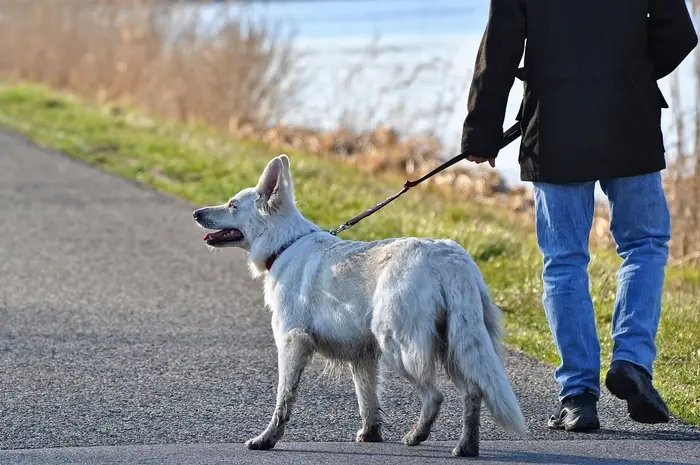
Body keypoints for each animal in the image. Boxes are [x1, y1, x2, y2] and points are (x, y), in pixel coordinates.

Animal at [191, 154, 524, 454]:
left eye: (232, 205)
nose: (195, 213)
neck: (285, 244)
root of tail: (450, 259)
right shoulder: (362, 355)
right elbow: (368, 400)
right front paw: (371, 434)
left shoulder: (292, 342)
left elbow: (283, 399)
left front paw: (267, 439)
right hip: (454, 345)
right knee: (473, 390)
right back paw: (466, 446)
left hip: (399, 347)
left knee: (435, 396)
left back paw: (417, 436)